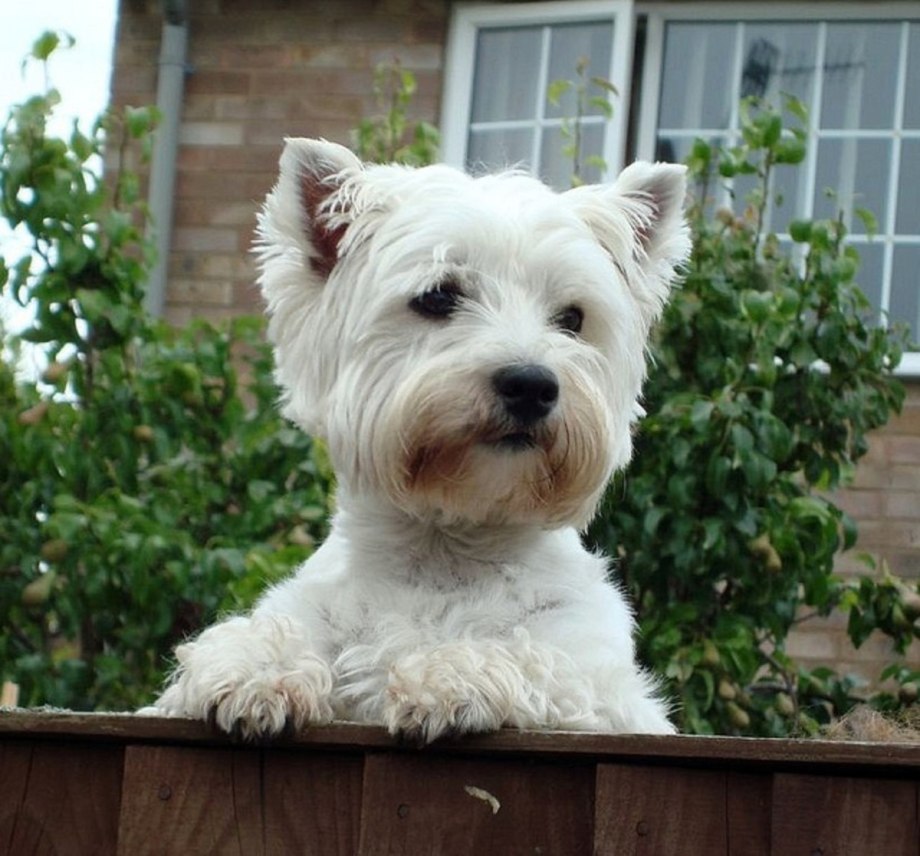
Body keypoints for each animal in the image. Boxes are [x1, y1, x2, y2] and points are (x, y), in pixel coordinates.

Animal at [147, 140, 688, 744]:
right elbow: (266, 638)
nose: (531, 384)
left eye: (572, 317)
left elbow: (537, 658)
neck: (444, 551)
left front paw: (449, 677)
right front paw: (252, 670)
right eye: (436, 297)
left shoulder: (612, 694)